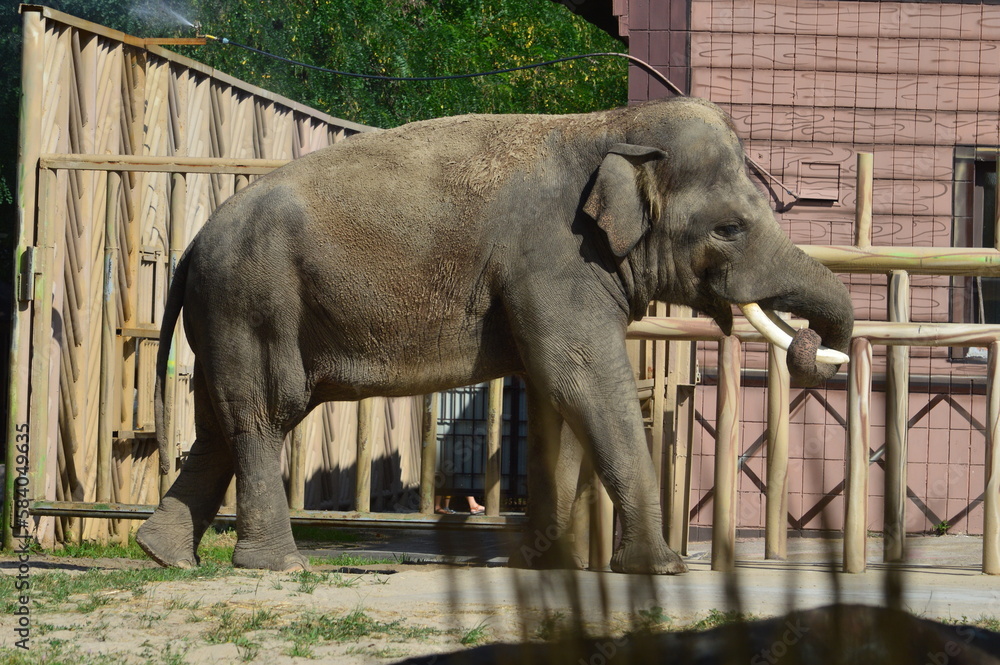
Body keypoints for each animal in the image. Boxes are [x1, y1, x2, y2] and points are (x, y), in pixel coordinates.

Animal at [135, 96, 853, 574]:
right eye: (729, 228)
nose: (817, 346)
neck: (612, 125)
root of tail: (192, 244)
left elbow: (558, 396)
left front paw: (549, 565)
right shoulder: (557, 258)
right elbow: (582, 377)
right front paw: (661, 569)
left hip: (225, 314)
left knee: (218, 424)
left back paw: (165, 556)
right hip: (252, 303)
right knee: (263, 414)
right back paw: (275, 567)